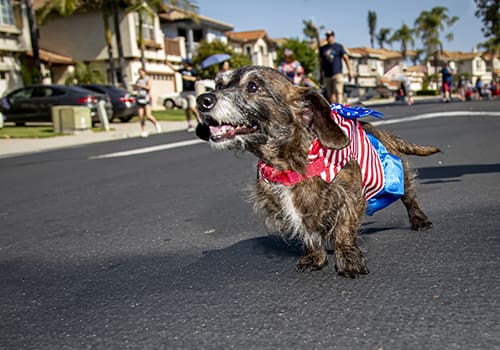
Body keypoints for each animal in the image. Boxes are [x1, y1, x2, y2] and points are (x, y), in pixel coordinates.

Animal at [196, 65, 442, 278]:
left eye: (253, 86)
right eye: (218, 84)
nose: (202, 100)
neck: (291, 161)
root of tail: (382, 133)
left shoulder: (348, 196)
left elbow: (344, 229)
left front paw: (348, 260)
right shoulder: (292, 209)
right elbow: (309, 233)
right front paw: (315, 257)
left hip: (401, 177)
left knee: (410, 198)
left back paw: (420, 220)